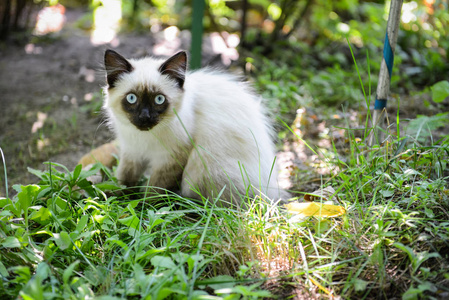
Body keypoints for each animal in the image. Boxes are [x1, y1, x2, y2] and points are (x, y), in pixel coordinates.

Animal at [103, 49, 282, 206]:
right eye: (132, 98)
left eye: (159, 99)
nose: (144, 117)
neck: (144, 137)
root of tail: (270, 192)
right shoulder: (132, 151)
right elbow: (125, 178)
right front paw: (120, 199)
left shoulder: (171, 158)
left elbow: (155, 188)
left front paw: (143, 208)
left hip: (202, 167)